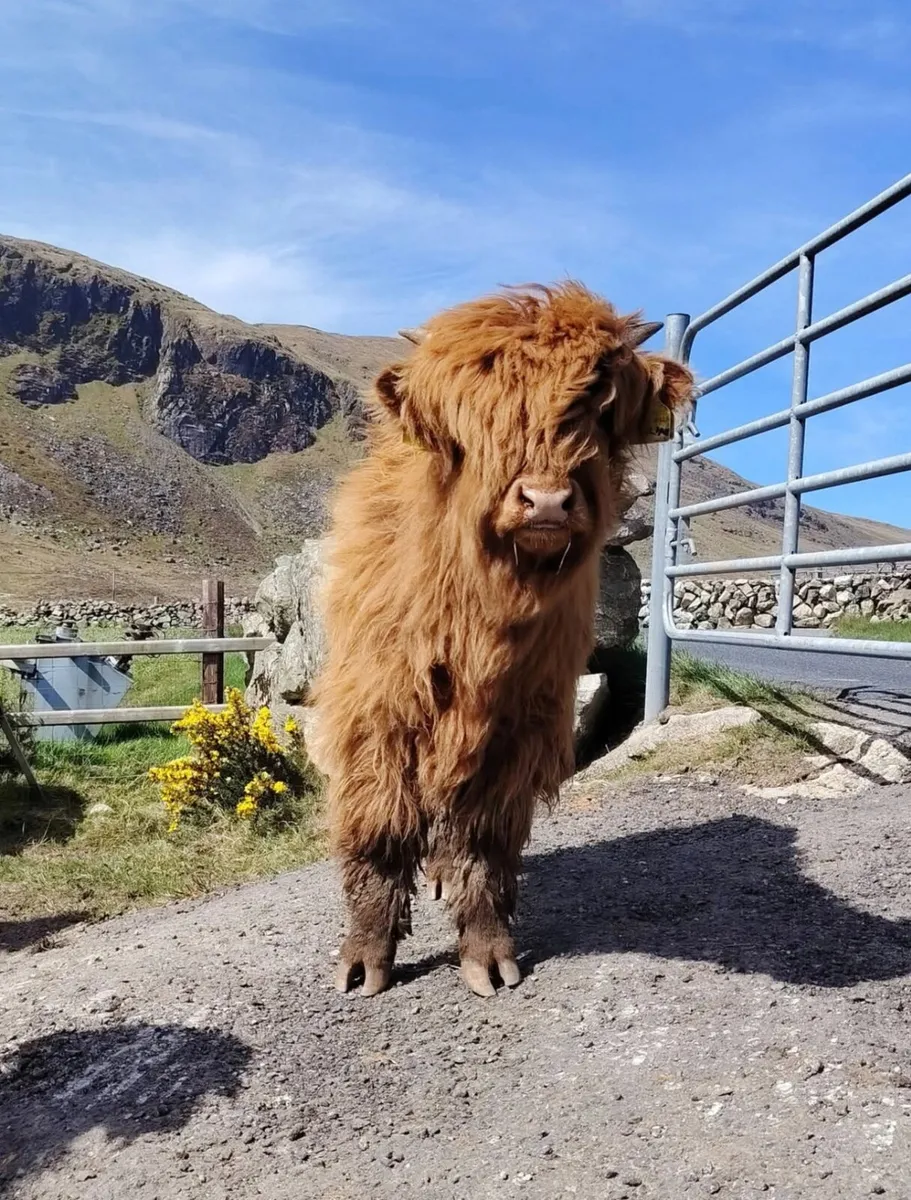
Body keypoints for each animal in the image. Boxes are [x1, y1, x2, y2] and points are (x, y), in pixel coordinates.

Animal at [309, 282, 693, 998]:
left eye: (598, 405)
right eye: (473, 412)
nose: (546, 502)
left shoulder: (516, 728)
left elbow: (483, 845)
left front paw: (487, 954)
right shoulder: (378, 715)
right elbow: (379, 831)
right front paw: (366, 959)